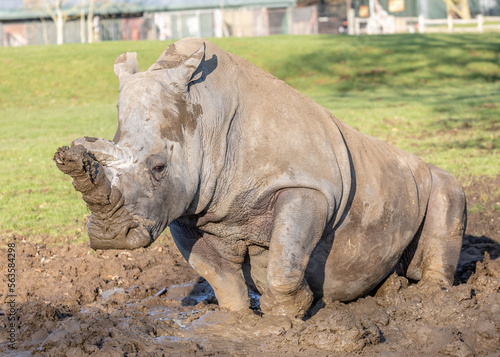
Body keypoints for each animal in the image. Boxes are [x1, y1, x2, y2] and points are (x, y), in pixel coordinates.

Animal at [54, 37, 464, 318]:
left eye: (159, 168)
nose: (110, 237)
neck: (207, 118)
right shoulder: (185, 208)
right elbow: (220, 276)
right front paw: (238, 321)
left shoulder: (306, 186)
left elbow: (285, 258)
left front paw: (288, 316)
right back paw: (388, 290)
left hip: (431, 179)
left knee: (449, 195)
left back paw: (431, 300)